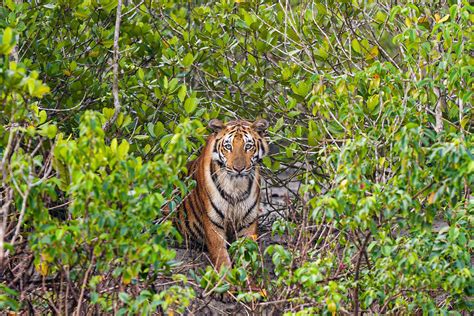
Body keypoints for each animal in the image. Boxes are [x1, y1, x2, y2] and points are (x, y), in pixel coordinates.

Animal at [176, 118, 268, 270]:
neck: (236, 185)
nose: (238, 169)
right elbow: (221, 258)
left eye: (248, 146)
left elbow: (246, 255)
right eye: (228, 146)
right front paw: (227, 276)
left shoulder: (248, 222)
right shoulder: (213, 222)